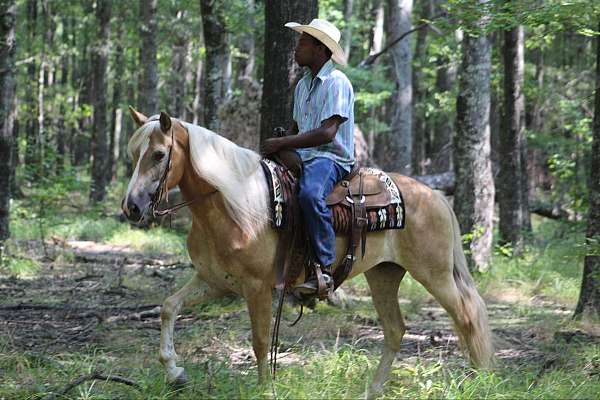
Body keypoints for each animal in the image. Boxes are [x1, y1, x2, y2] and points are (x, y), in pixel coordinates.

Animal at [120, 108, 492, 396]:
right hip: (383, 274)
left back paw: (479, 380)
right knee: (396, 329)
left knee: (467, 317)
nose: (131, 207)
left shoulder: (257, 287)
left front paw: (265, 390)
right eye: (133, 153)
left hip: (434, 274)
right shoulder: (215, 281)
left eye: (159, 155)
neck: (234, 205)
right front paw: (175, 373)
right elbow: (169, 307)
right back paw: (373, 390)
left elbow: (260, 340)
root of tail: (435, 195)